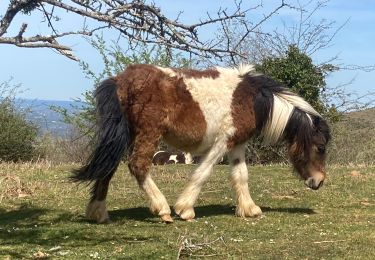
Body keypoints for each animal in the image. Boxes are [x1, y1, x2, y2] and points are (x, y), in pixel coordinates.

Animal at [73, 63, 332, 223]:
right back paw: (163, 209)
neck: (251, 99)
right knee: (138, 166)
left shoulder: (237, 144)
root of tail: (121, 79)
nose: (319, 181)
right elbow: (203, 173)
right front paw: (184, 209)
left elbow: (241, 176)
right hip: (147, 134)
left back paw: (97, 212)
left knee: (108, 167)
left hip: (123, 135)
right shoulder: (222, 143)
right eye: (320, 148)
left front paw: (249, 209)